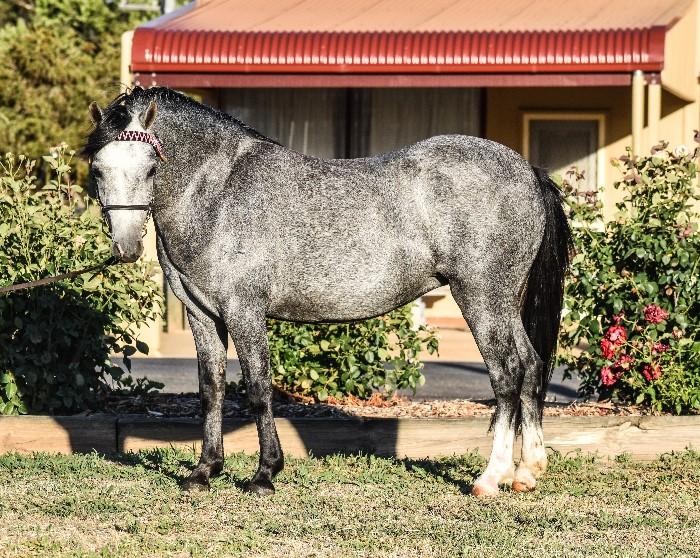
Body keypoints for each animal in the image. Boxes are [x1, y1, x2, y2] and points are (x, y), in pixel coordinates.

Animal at [83, 86, 570, 498]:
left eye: (151, 167)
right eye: (97, 169)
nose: (125, 246)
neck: (218, 194)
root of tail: (527, 171)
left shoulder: (244, 311)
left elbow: (258, 388)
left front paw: (264, 475)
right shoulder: (204, 315)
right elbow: (211, 388)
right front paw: (205, 471)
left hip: (482, 298)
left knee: (507, 374)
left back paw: (489, 478)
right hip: (505, 302)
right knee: (531, 366)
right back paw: (527, 472)